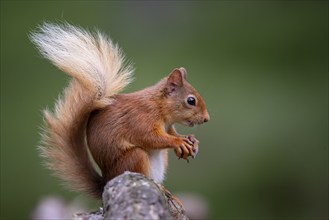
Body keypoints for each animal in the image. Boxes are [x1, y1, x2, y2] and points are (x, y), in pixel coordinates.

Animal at [30, 22, 208, 198]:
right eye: (191, 100)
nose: (207, 119)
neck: (160, 108)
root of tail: (106, 183)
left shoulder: (168, 125)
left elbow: (171, 133)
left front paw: (190, 140)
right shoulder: (141, 118)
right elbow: (151, 137)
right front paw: (179, 142)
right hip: (135, 158)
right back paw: (161, 189)